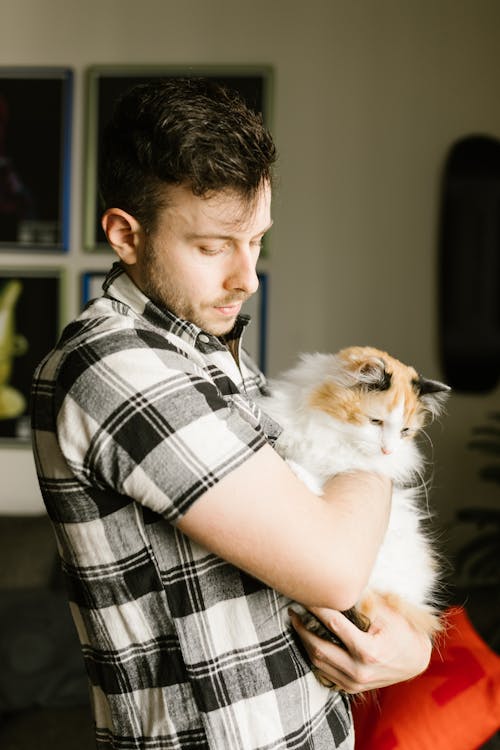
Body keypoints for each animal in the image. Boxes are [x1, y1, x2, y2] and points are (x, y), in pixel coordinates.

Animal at [258, 346, 450, 652]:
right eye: (376, 422)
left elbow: (317, 480)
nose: (388, 450)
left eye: (405, 431)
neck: (333, 435)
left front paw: (297, 471)